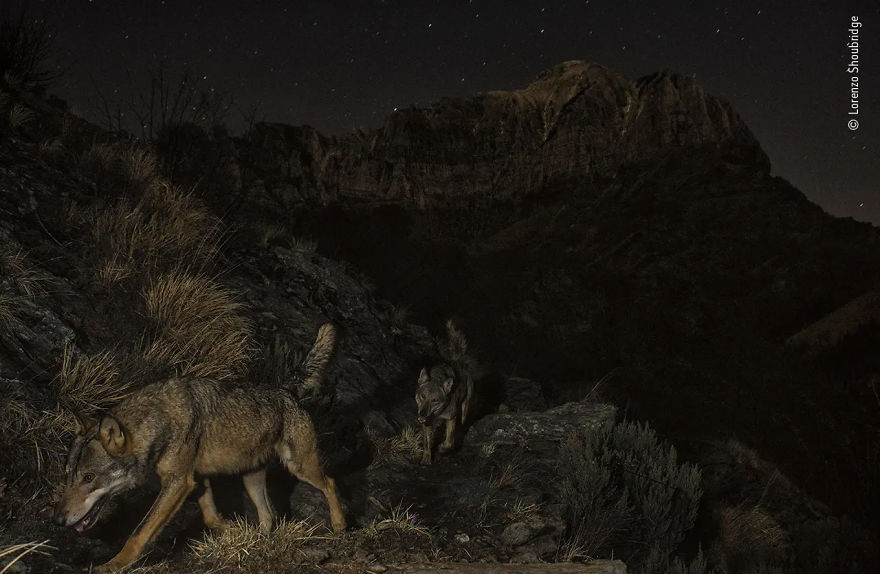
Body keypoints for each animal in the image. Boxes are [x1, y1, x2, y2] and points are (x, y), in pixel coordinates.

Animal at [53, 324, 345, 573]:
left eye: (88, 477)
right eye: (68, 476)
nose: (59, 521)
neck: (159, 420)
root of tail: (285, 390)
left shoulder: (178, 482)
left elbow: (139, 532)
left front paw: (113, 565)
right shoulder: (197, 479)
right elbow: (210, 517)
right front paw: (233, 531)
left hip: (299, 467)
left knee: (330, 483)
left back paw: (340, 526)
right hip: (250, 480)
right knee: (269, 516)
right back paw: (260, 542)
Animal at [415, 320, 475, 465]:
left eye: (434, 400)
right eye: (423, 396)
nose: (422, 413)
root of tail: (457, 360)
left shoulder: (451, 418)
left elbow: (449, 442)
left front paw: (442, 449)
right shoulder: (427, 422)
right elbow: (427, 443)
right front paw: (426, 459)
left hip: (465, 407)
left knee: (462, 421)